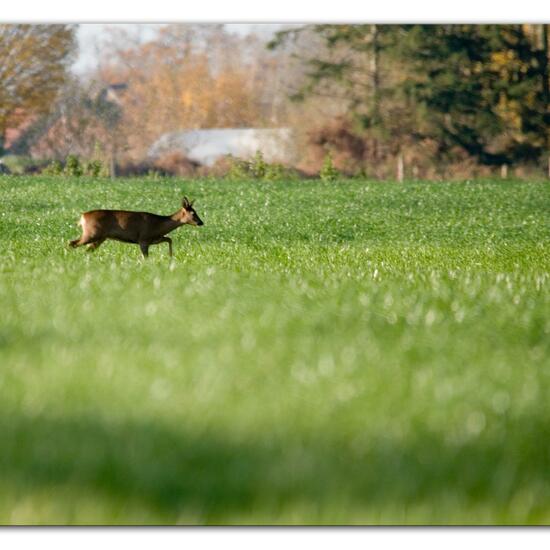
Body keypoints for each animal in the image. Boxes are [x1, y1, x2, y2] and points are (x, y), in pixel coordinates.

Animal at [70, 197, 204, 260]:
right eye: (193, 213)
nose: (201, 222)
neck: (158, 225)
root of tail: (82, 217)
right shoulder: (143, 239)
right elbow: (146, 257)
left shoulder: (154, 239)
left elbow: (169, 239)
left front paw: (170, 256)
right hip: (91, 233)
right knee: (72, 243)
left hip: (100, 237)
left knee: (86, 249)